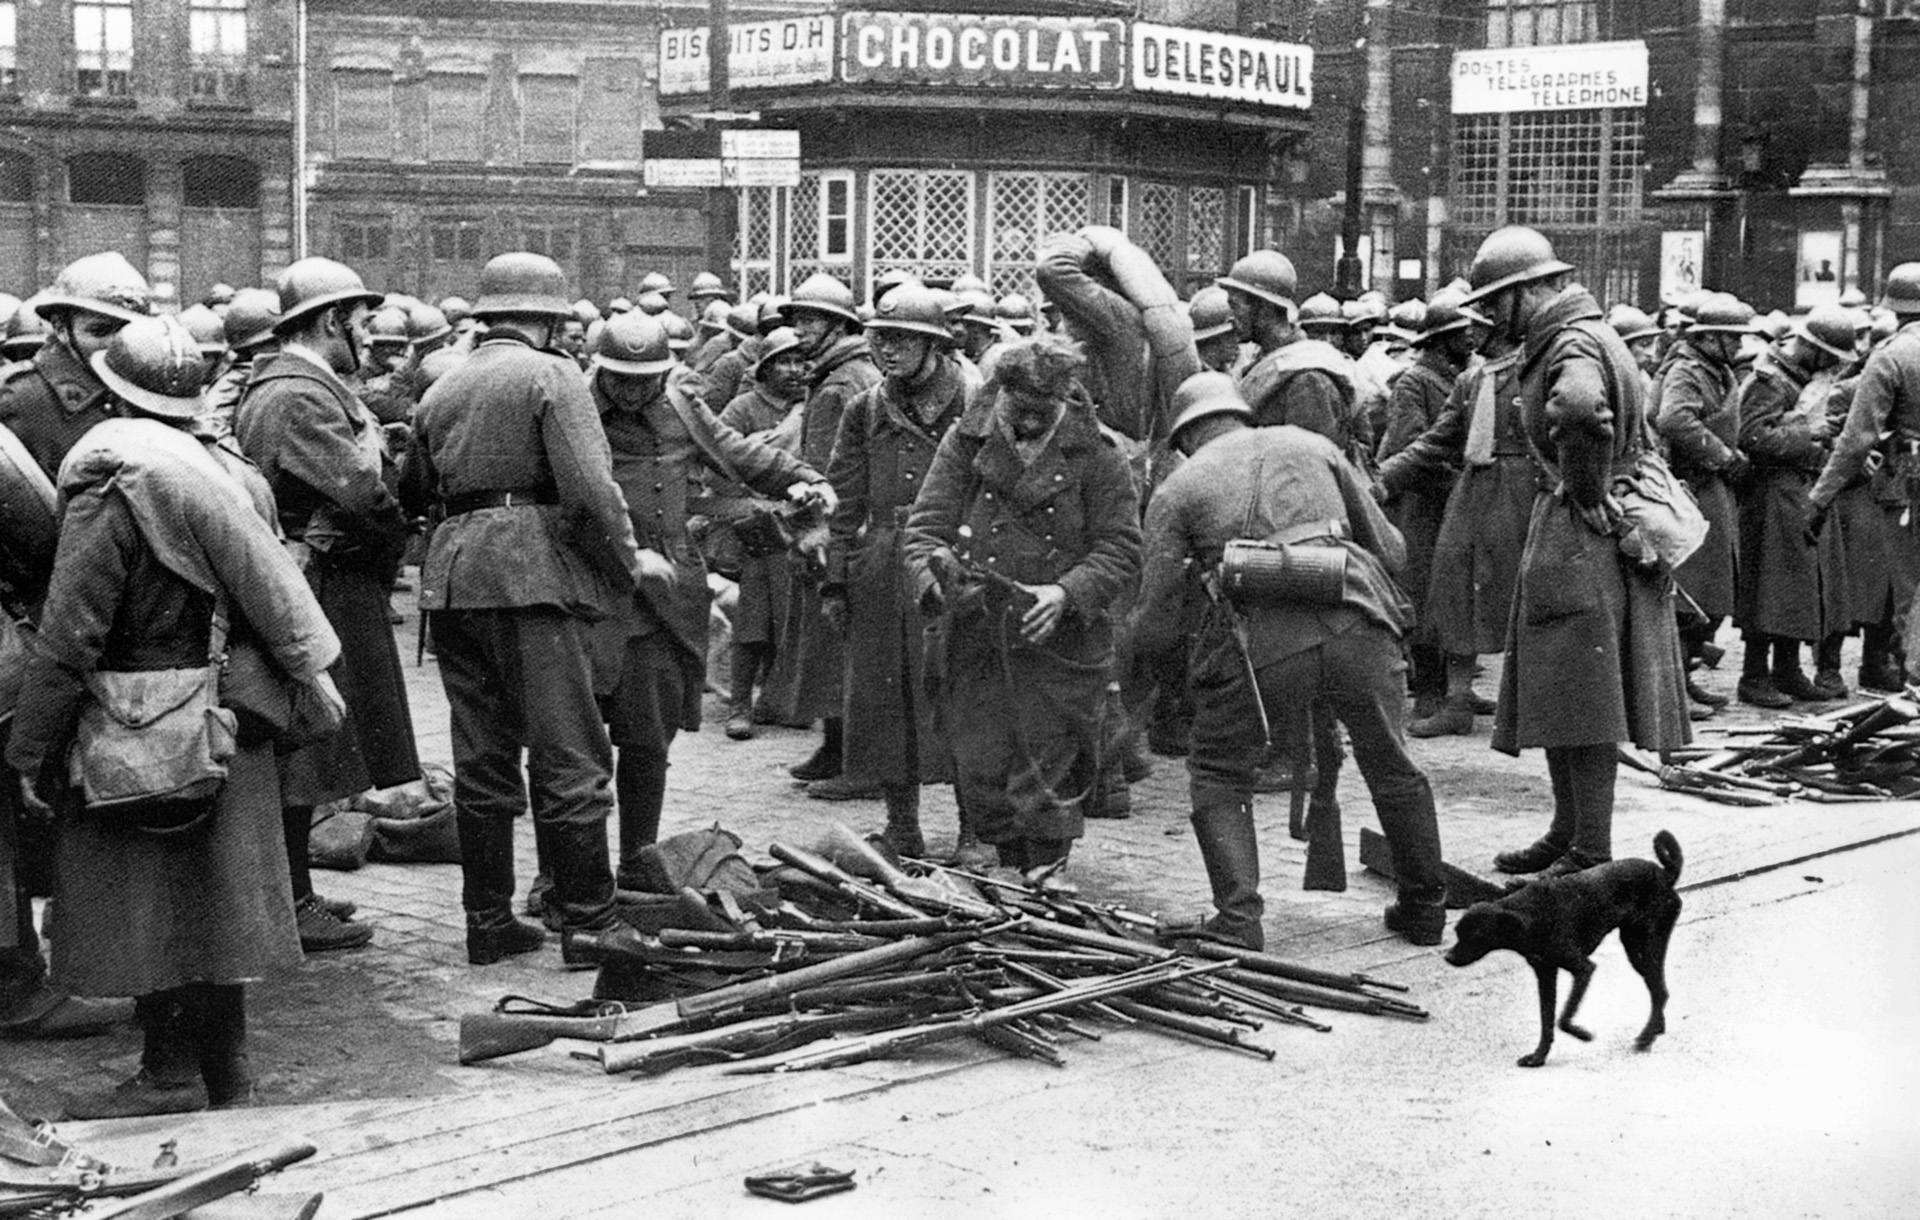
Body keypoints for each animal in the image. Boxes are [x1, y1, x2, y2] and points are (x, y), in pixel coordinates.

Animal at [1443, 829, 1674, 1068]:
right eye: (1457, 932)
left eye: (1476, 935)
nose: (1448, 957)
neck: (1530, 915)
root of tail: (1667, 875)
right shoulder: (1545, 973)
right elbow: (1547, 1020)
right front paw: (1538, 1056)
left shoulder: (1583, 969)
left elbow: (1563, 1017)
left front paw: (1582, 1034)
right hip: (1636, 951)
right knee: (1658, 991)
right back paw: (1655, 1029)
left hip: (1647, 948)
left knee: (1660, 992)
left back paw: (1647, 1037)